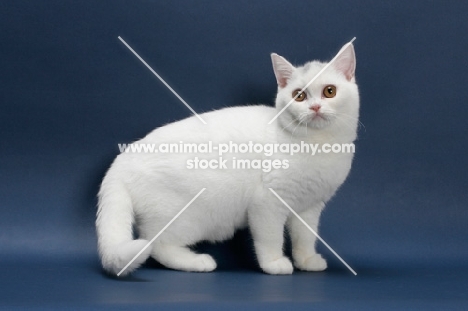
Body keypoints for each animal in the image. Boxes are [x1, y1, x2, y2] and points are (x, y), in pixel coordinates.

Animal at [96, 42, 358, 276]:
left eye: (329, 91)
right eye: (299, 96)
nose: (315, 107)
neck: (318, 145)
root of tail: (122, 159)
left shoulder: (309, 208)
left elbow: (305, 237)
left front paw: (306, 260)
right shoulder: (266, 204)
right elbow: (271, 237)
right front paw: (274, 263)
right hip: (188, 218)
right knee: (156, 245)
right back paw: (197, 262)